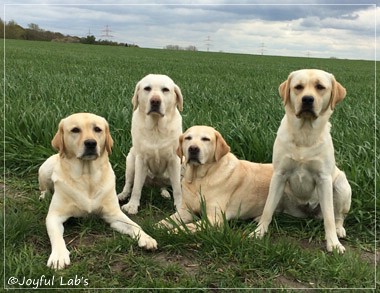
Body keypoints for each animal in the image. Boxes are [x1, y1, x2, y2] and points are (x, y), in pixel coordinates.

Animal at [38, 112, 157, 270]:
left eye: (97, 129)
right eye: (75, 130)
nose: (90, 143)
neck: (87, 177)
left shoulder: (114, 214)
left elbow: (134, 225)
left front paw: (147, 238)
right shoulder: (54, 216)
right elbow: (56, 236)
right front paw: (58, 256)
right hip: (45, 169)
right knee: (44, 188)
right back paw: (44, 196)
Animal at [119, 74, 184, 213]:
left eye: (165, 90)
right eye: (147, 88)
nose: (155, 101)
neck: (156, 127)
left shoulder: (174, 160)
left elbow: (177, 189)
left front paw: (180, 206)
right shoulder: (140, 160)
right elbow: (136, 187)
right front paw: (132, 205)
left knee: (165, 186)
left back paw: (164, 192)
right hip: (130, 161)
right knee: (129, 183)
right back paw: (123, 195)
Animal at [254, 69, 352, 252]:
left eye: (320, 87)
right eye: (298, 87)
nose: (307, 99)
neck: (305, 133)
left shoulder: (324, 179)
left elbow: (329, 217)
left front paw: (333, 243)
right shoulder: (279, 175)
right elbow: (268, 208)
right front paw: (258, 232)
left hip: (341, 184)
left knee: (338, 216)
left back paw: (339, 229)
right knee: (276, 208)